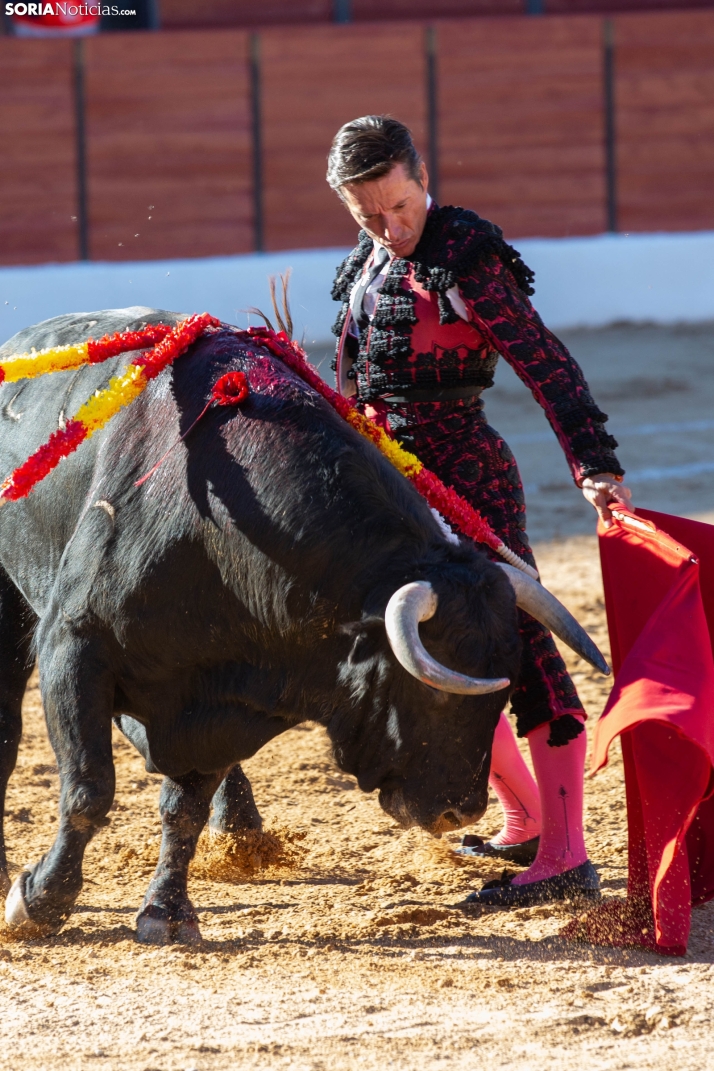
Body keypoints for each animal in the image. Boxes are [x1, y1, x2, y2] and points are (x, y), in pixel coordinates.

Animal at [0, 306, 608, 942]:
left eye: (502, 694)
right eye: (438, 695)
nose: (459, 811)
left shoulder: (223, 699)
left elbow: (184, 805)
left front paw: (166, 913)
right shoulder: (73, 647)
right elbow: (88, 790)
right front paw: (39, 901)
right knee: (9, 735)